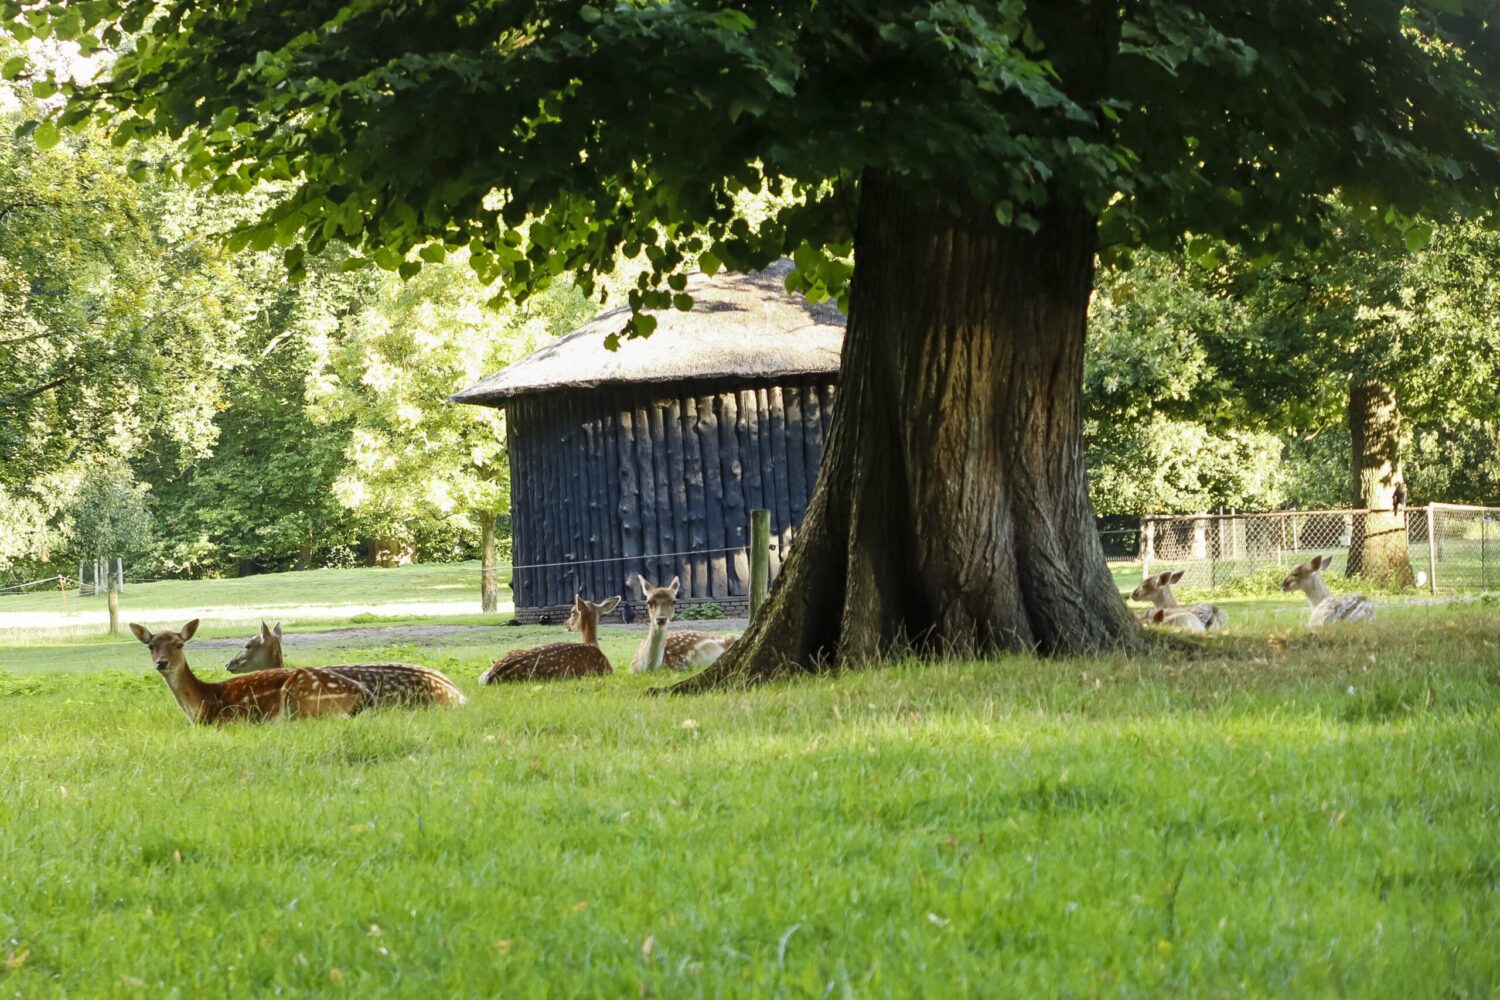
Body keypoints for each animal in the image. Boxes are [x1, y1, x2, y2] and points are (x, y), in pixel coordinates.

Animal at [132, 617, 465, 728]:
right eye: (150, 645)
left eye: (179, 644)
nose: (161, 663)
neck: (200, 702)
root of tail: (459, 696)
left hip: (297, 698)